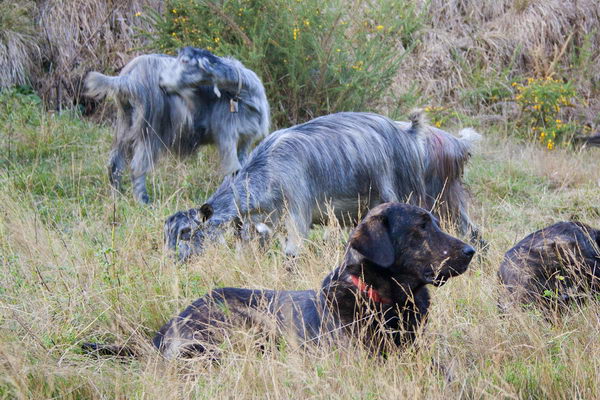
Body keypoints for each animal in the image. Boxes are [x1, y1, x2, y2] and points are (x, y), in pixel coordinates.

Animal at [83, 47, 268, 203]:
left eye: (185, 61)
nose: (162, 80)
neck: (243, 94)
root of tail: (128, 78)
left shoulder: (246, 139)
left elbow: (244, 167)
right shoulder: (226, 136)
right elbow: (234, 169)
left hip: (125, 122)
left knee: (115, 162)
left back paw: (118, 195)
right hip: (151, 128)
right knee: (138, 166)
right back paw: (143, 201)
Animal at [84, 205, 476, 358]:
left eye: (435, 222)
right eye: (421, 228)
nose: (471, 251)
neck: (383, 298)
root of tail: (163, 331)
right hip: (248, 322)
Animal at [165, 111, 482, 260]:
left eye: (186, 232)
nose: (174, 261)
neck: (267, 167)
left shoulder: (297, 209)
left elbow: (292, 254)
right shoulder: (261, 223)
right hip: (447, 197)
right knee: (473, 231)